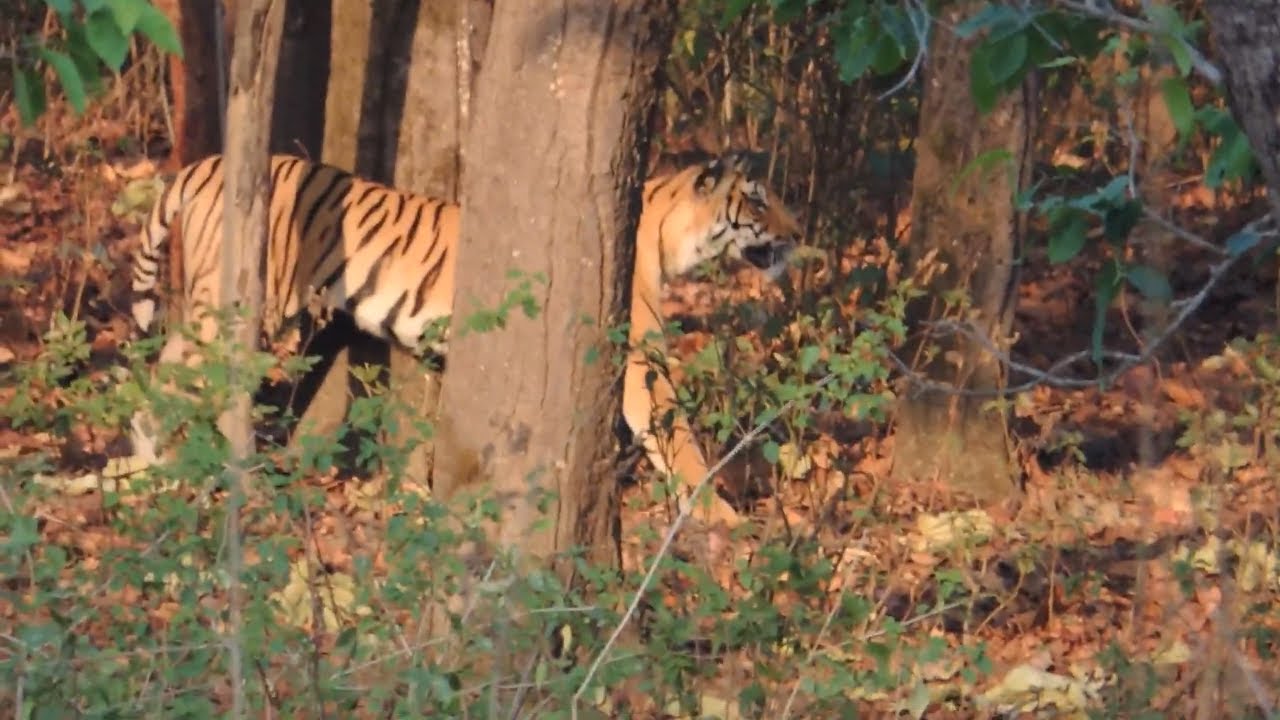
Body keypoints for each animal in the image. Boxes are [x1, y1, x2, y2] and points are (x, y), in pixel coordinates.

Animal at [128, 152, 801, 526]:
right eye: (759, 203)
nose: (799, 235)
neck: (669, 239)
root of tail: (207, 164)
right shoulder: (638, 357)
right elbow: (678, 437)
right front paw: (722, 518)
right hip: (243, 303)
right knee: (186, 379)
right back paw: (191, 468)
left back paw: (153, 466)